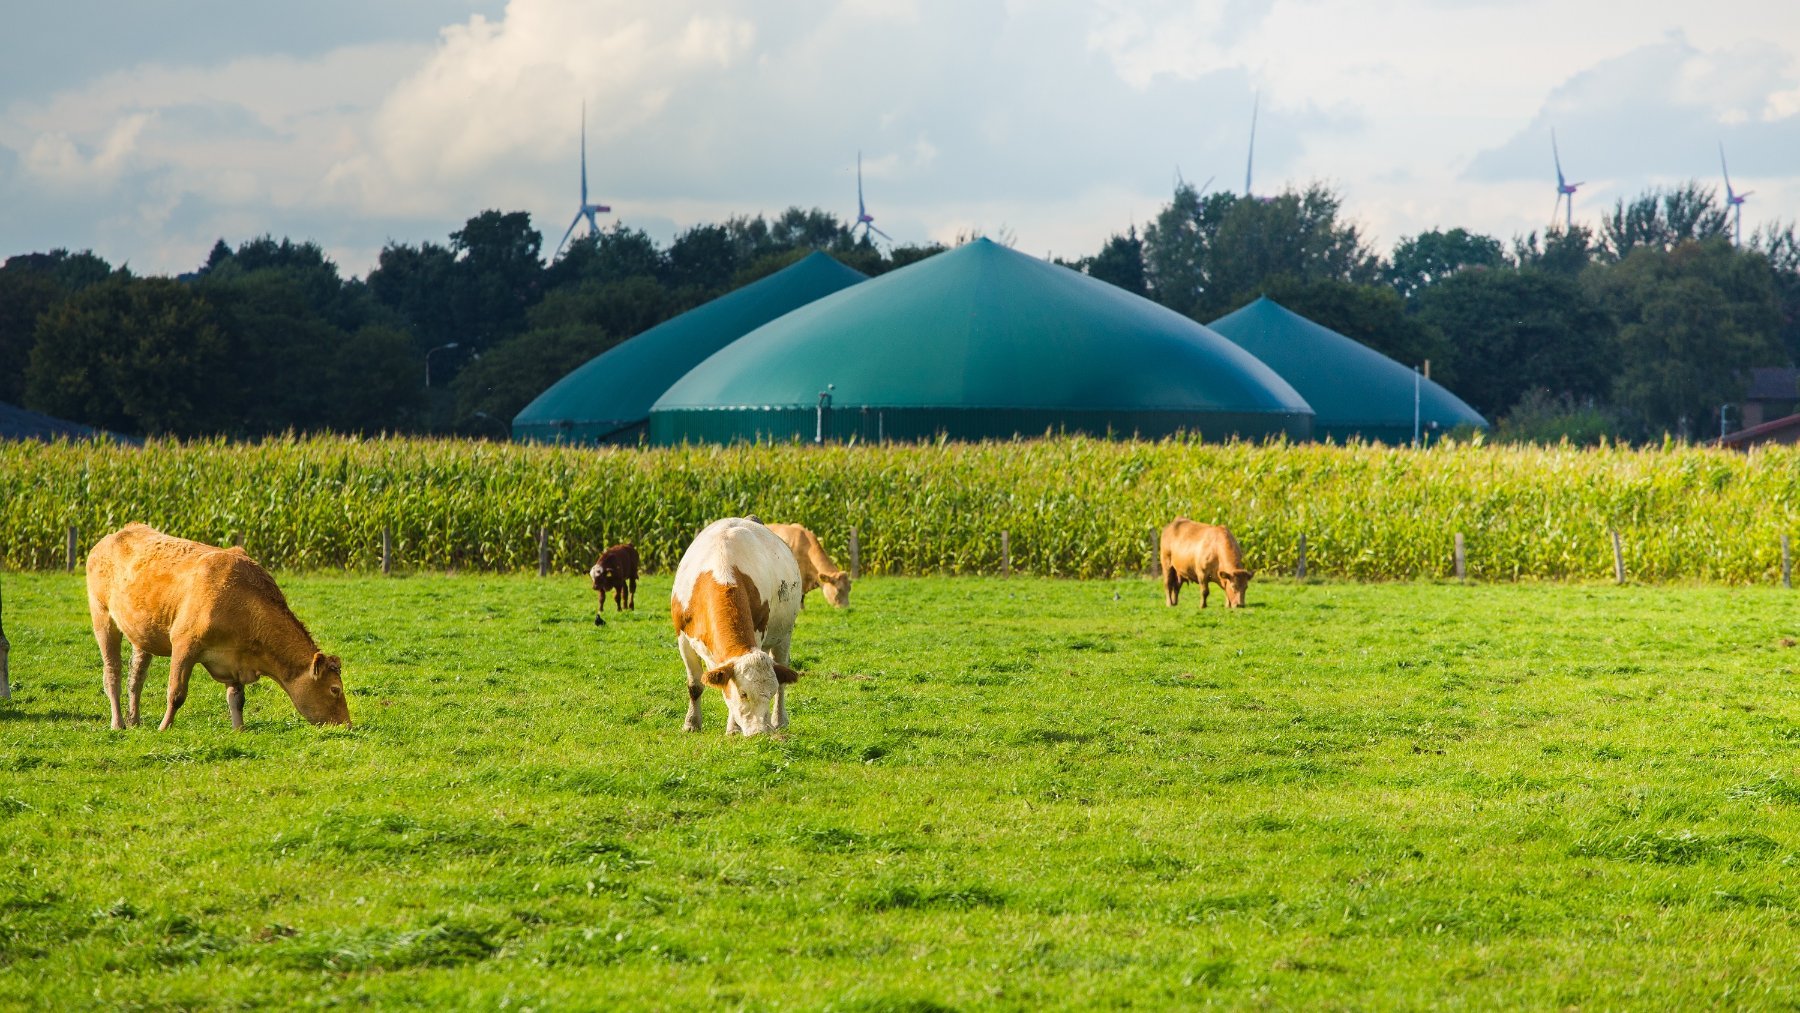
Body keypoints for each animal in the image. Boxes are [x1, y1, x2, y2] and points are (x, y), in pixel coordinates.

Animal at [85, 528, 351, 734]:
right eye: (335, 689)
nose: (347, 725)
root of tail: (111, 537)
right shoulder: (184, 644)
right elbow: (176, 693)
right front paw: (164, 727)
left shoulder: (236, 659)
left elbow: (237, 699)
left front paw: (239, 729)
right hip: (103, 617)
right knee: (112, 672)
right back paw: (118, 723)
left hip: (142, 634)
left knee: (136, 677)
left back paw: (135, 720)